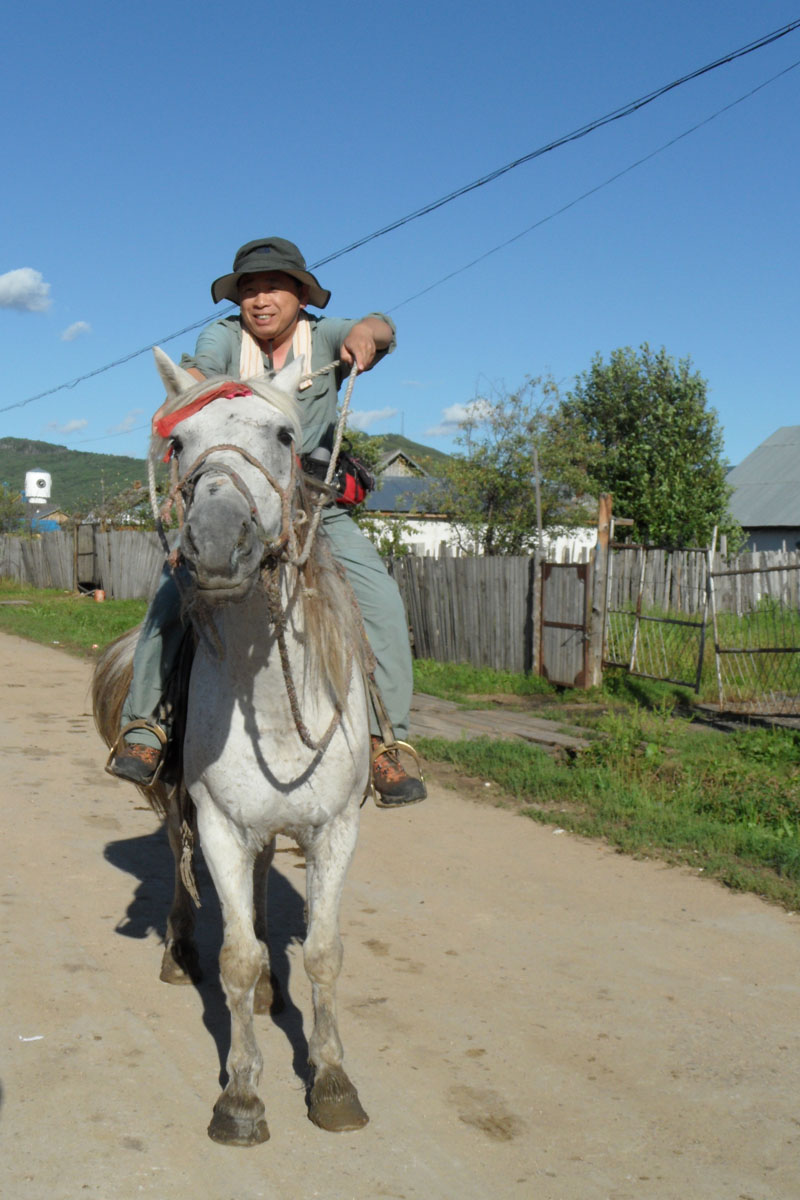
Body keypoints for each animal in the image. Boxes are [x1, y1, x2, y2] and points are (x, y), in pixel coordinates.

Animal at [92, 350, 371, 1142]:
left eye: (284, 434)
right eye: (179, 443)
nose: (217, 543)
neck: (271, 705)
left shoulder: (336, 828)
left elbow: (325, 954)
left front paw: (332, 1080)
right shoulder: (218, 822)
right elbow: (237, 958)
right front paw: (242, 1094)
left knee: (261, 881)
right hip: (175, 801)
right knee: (181, 866)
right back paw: (178, 950)